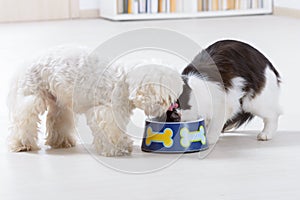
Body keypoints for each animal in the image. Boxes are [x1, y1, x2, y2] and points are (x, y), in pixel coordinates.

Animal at [7, 46, 183, 157]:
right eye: (168, 98)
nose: (175, 107)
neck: (124, 82)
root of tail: (27, 62)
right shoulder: (107, 111)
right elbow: (111, 131)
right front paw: (118, 148)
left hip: (58, 101)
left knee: (57, 119)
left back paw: (61, 141)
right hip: (32, 96)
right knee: (24, 120)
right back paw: (22, 144)